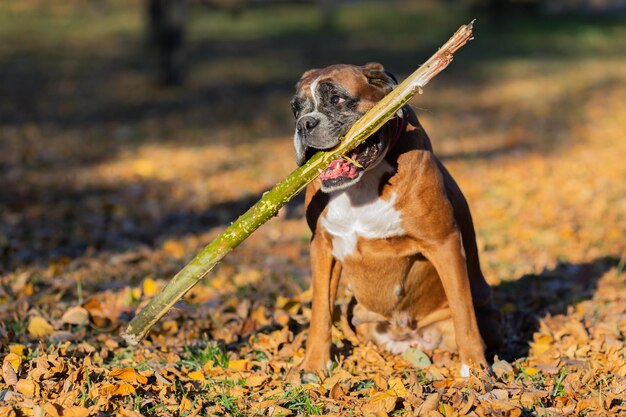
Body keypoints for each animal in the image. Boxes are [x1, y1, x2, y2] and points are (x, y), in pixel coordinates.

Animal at [290, 62, 500, 376]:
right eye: (295, 110)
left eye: (336, 99)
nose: (303, 125)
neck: (363, 184)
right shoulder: (323, 247)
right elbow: (320, 312)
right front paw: (314, 365)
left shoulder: (444, 242)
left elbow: (463, 311)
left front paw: (473, 370)